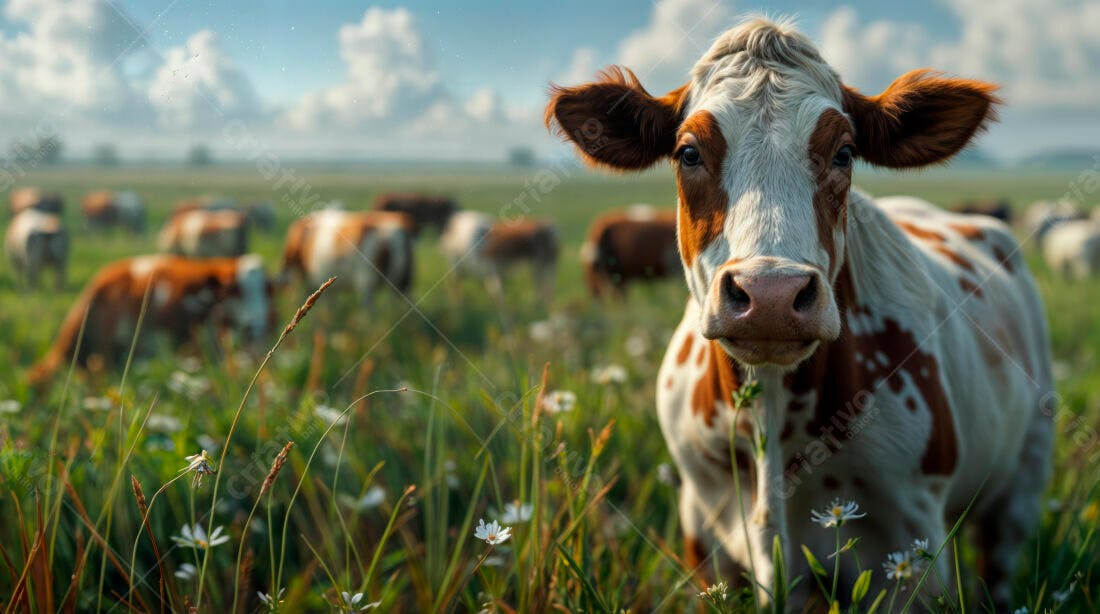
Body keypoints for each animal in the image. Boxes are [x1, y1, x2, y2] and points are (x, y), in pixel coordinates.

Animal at [546, 18, 1052, 610]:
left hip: (1022, 481)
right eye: (688, 152)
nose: (770, 294)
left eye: (845, 152)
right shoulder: (703, 532)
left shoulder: (911, 547)